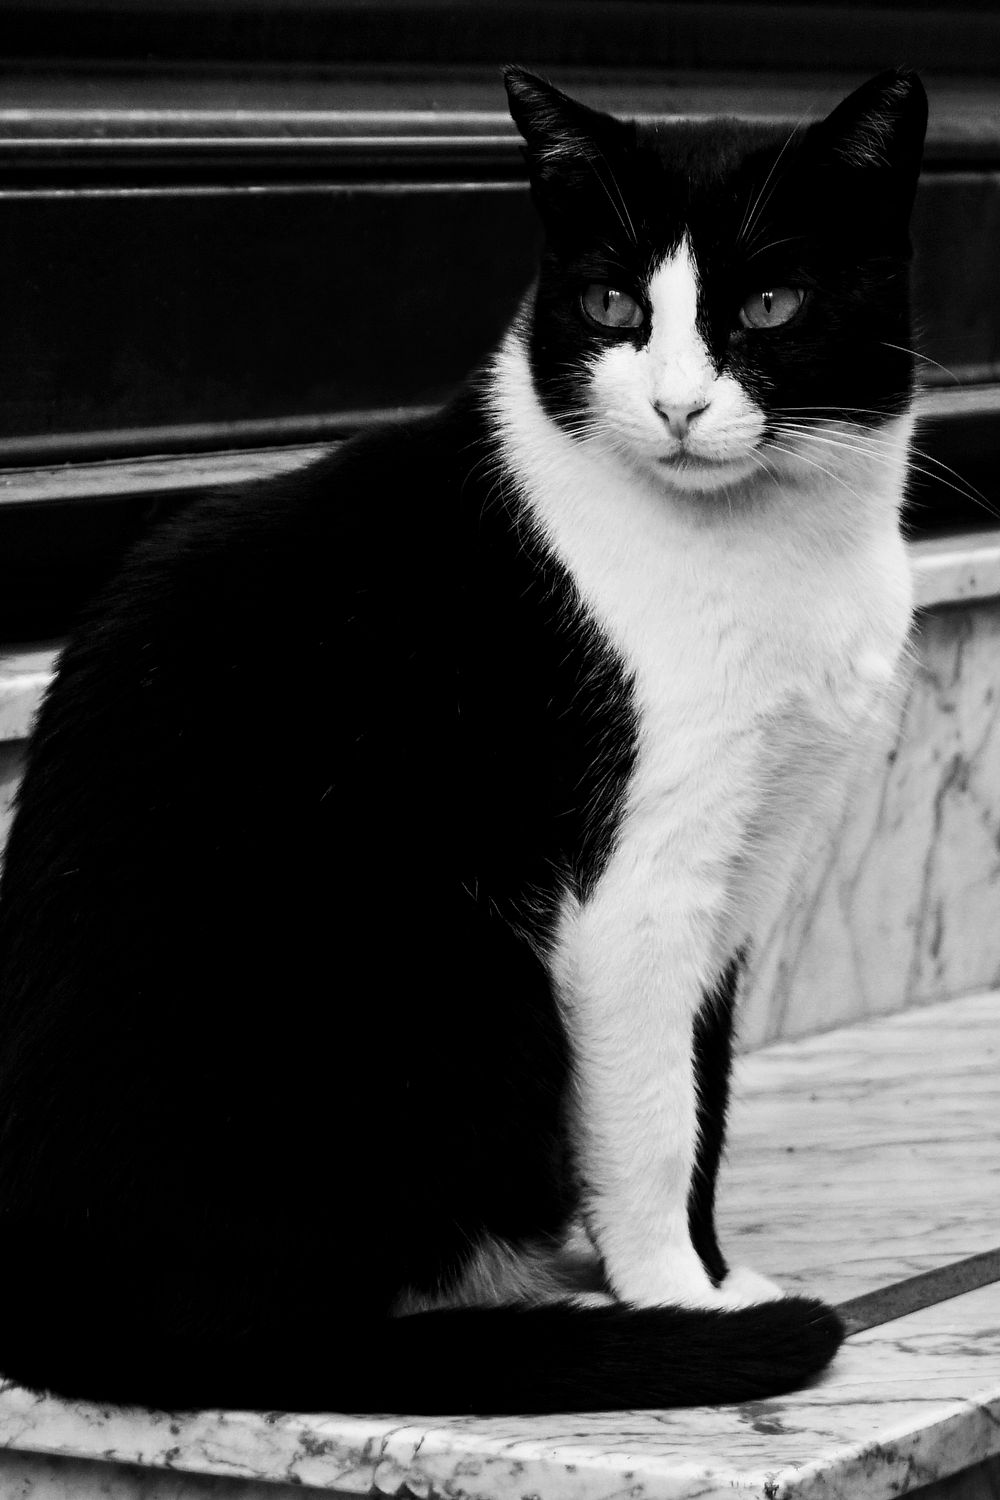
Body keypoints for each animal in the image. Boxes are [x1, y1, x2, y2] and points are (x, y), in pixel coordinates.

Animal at [0, 61, 929, 1416]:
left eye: (768, 303)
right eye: (609, 304)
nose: (676, 405)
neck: (772, 553)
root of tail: (62, 1307)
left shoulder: (747, 861)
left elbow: (706, 1087)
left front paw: (707, 1275)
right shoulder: (633, 896)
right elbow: (656, 1120)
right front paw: (675, 1300)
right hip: (439, 966)